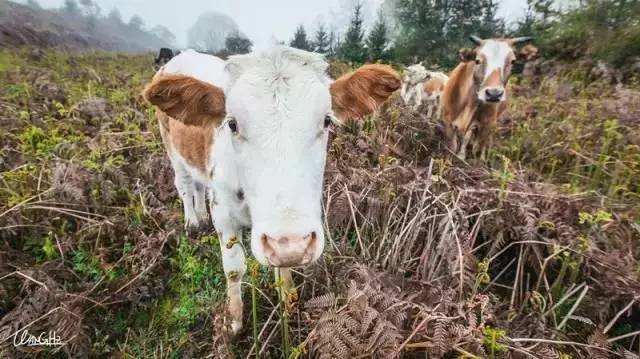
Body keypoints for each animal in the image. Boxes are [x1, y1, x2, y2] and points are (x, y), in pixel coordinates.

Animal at [144, 47, 400, 334]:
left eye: (326, 121)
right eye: (232, 124)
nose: (293, 244)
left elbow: (283, 272)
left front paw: (288, 300)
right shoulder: (222, 212)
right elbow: (234, 268)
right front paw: (233, 321)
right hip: (170, 145)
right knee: (186, 185)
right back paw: (192, 221)